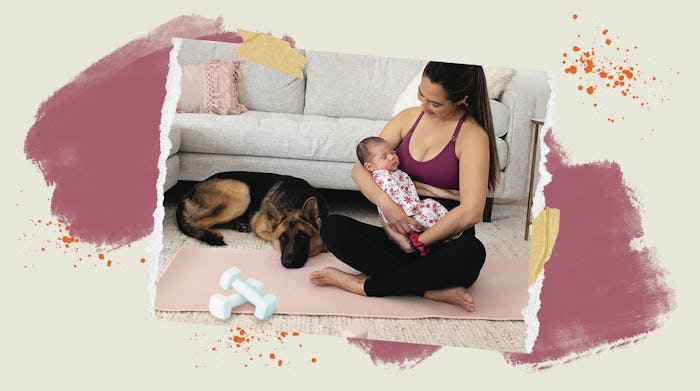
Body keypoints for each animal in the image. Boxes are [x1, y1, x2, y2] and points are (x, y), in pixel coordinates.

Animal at [175, 172, 328, 270]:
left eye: (302, 237)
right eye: (282, 238)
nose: (288, 263)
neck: (296, 202)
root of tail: (187, 193)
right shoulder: (260, 227)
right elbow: (272, 237)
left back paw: (239, 225)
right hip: (242, 193)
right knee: (200, 222)